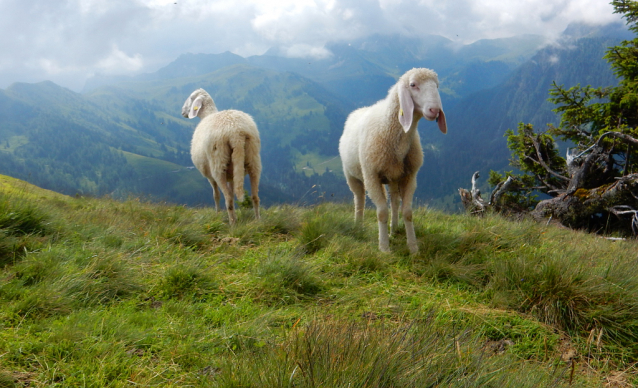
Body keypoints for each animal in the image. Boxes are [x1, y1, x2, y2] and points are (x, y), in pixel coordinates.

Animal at [181, 88, 262, 224]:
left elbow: (216, 195)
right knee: (254, 196)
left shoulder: (210, 176)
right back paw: (257, 221)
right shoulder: (233, 175)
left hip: (217, 164)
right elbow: (232, 191)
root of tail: (235, 132)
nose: (182, 111)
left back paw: (232, 224)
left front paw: (217, 214)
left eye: (191, 98)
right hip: (253, 157)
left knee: (228, 199)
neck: (207, 115)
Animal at [340, 68, 450, 253]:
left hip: (393, 176)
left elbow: (407, 212)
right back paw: (359, 226)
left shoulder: (410, 176)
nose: (435, 110)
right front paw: (384, 247)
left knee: (394, 202)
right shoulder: (371, 176)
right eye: (413, 85)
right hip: (352, 175)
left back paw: (394, 229)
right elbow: (382, 212)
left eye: (437, 85)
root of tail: (358, 111)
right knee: (359, 199)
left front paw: (413, 247)